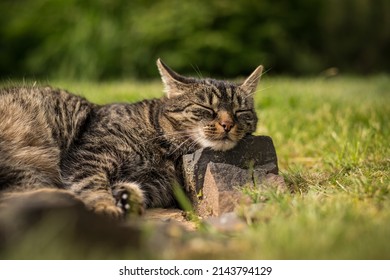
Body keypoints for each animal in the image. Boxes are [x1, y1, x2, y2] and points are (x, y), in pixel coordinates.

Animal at [0, 59, 264, 217]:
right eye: (206, 108)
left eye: (241, 111)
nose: (228, 124)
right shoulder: (89, 155)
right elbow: (92, 183)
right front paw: (106, 205)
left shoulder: (156, 184)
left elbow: (133, 189)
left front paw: (126, 197)